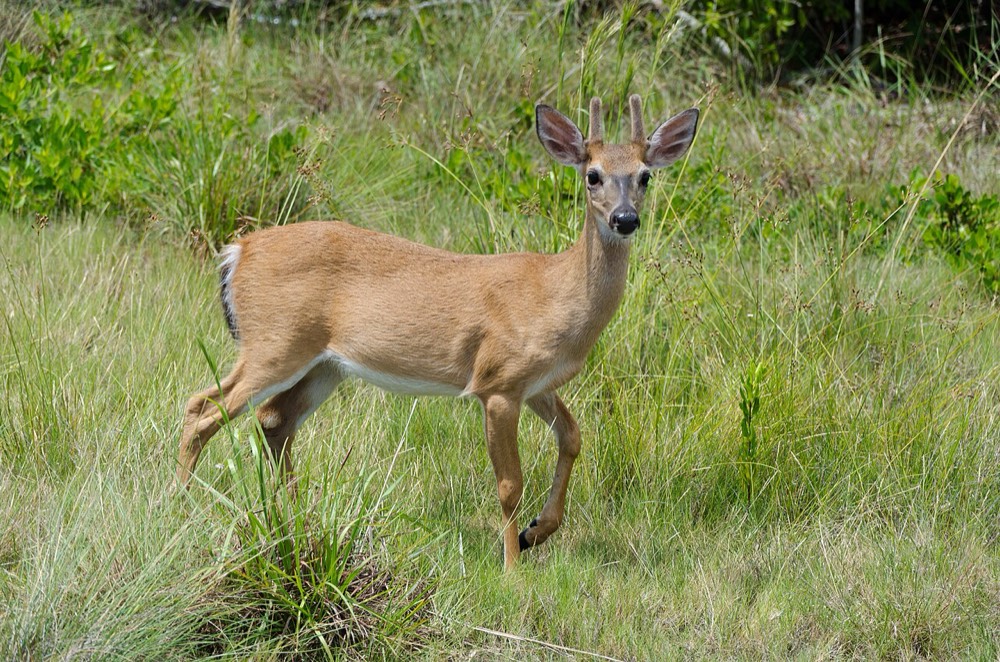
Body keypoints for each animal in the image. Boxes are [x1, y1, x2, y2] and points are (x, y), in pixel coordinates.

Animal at [178, 94, 698, 569]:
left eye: (645, 176)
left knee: (272, 420)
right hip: (275, 342)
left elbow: (572, 436)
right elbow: (509, 484)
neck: (554, 295)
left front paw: (536, 532)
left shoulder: (536, 383)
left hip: (324, 365)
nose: (625, 219)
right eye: (593, 175)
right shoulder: (497, 383)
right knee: (202, 408)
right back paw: (183, 505)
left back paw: (293, 519)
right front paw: (512, 567)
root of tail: (236, 252)